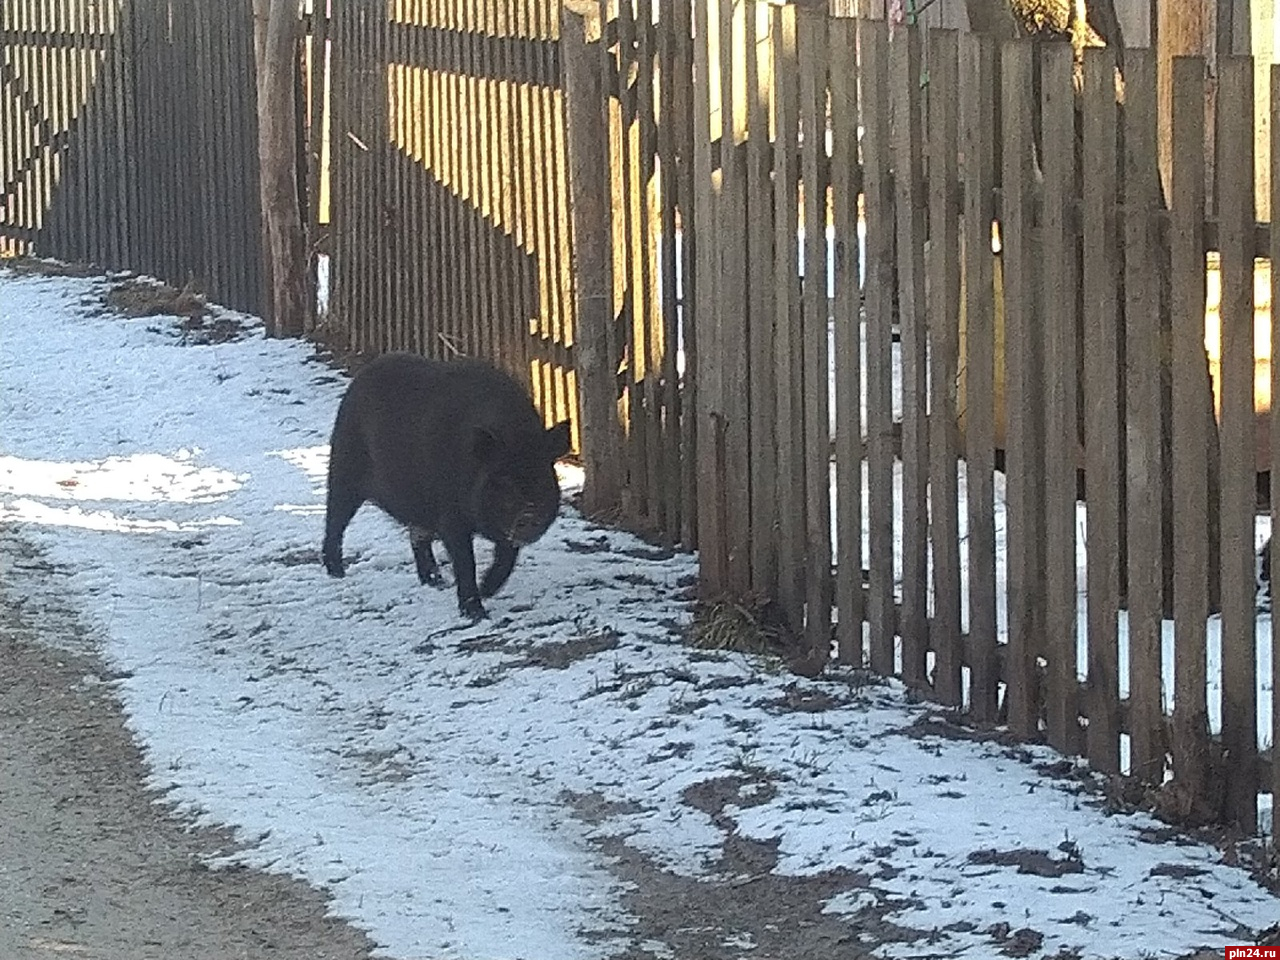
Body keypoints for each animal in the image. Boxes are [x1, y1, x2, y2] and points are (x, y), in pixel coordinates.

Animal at [325, 358, 570, 619]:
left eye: (543, 477)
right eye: (503, 479)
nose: (529, 514)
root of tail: (361, 377)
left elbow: (507, 556)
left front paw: (487, 590)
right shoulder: (450, 514)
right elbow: (465, 560)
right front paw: (476, 612)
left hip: (417, 502)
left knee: (417, 535)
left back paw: (436, 581)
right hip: (344, 466)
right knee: (335, 520)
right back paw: (336, 572)